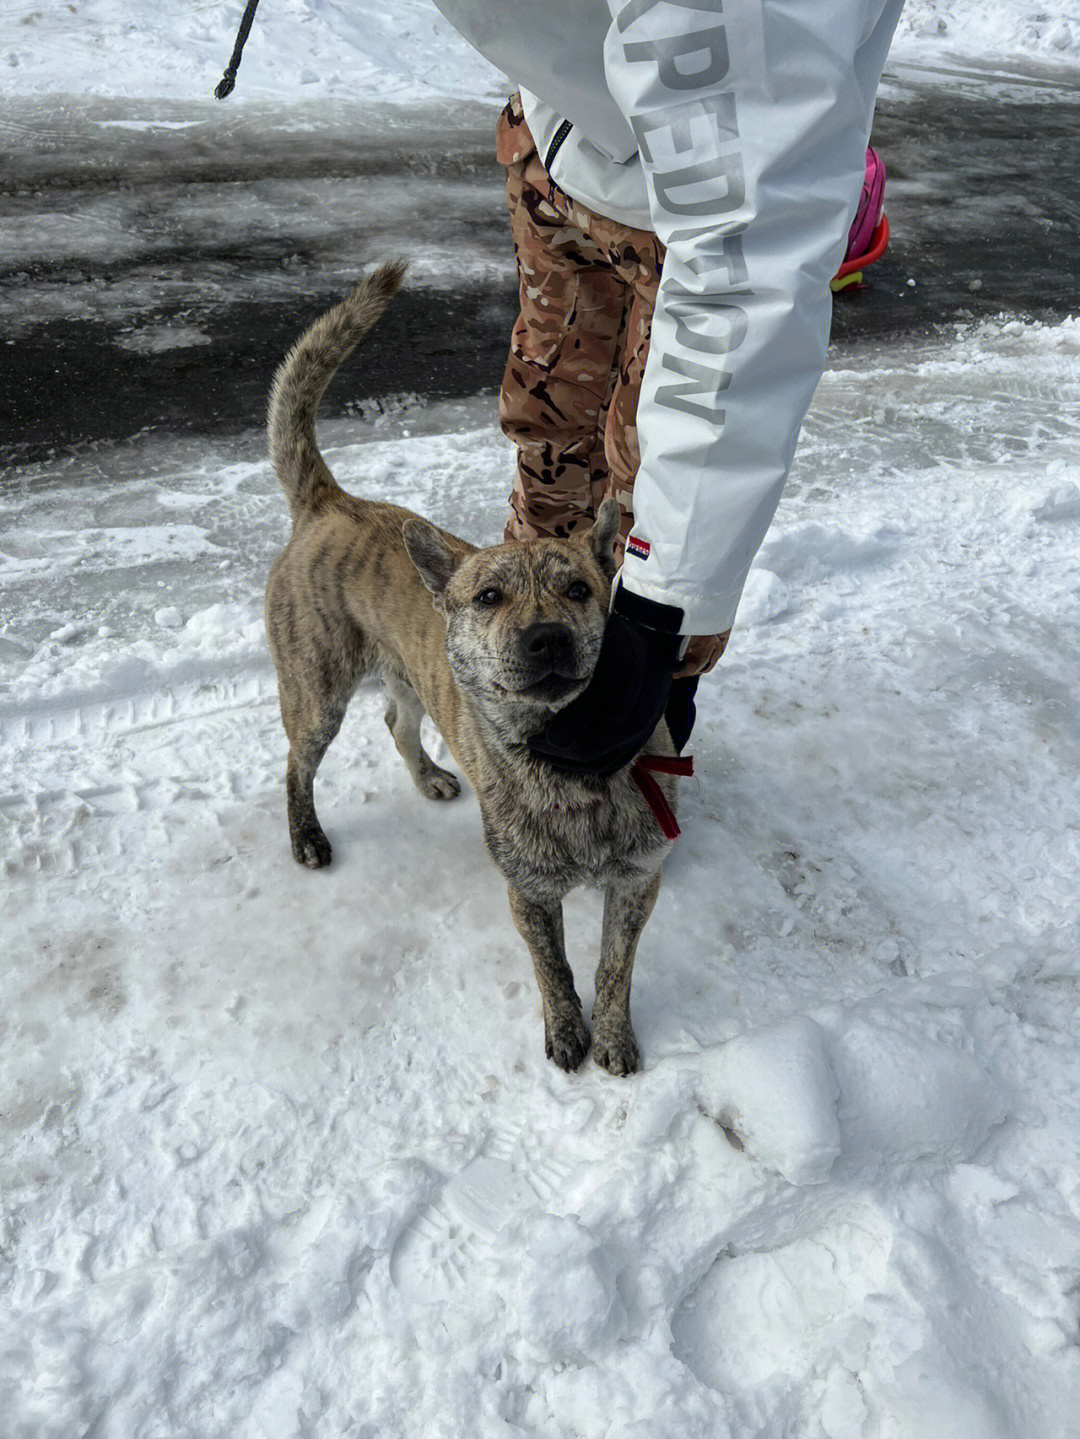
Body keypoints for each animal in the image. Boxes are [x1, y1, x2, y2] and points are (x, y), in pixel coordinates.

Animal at [264, 261, 684, 1070]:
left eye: (579, 589)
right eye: (489, 596)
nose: (546, 639)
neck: (572, 751)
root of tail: (330, 502)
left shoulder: (638, 880)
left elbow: (615, 966)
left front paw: (614, 1036)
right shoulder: (529, 891)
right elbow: (554, 965)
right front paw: (566, 1033)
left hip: (406, 674)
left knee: (397, 721)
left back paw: (428, 774)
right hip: (315, 685)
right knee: (296, 762)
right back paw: (305, 836)